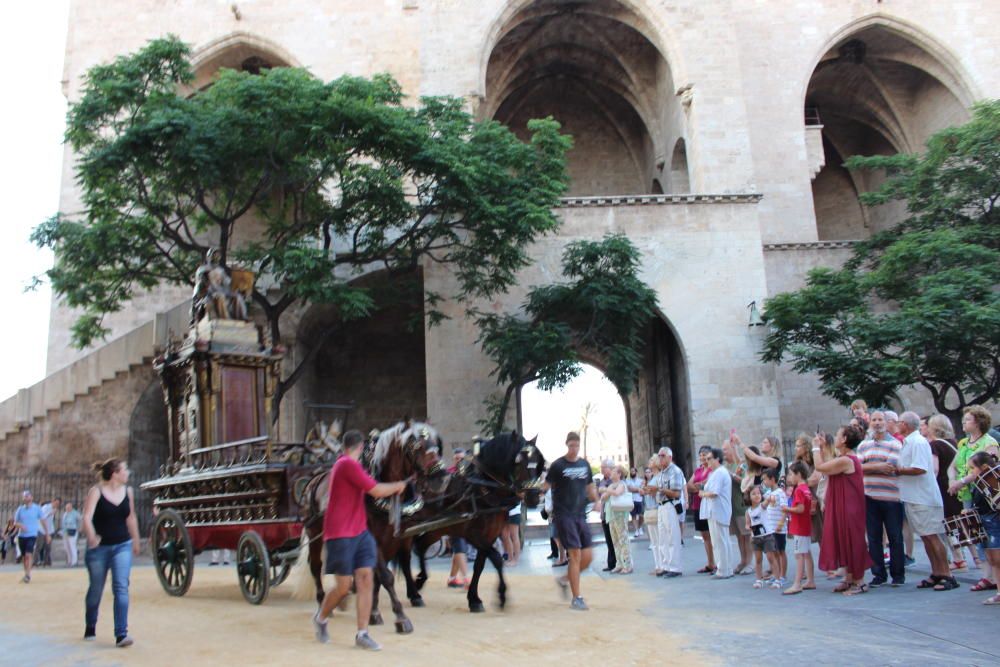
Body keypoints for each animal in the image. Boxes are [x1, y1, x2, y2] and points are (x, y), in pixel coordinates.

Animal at [400, 434, 544, 616]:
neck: (481, 488)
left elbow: (479, 565)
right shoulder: (473, 535)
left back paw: (420, 581)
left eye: (538, 463)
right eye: (519, 462)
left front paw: (474, 599)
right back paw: (413, 594)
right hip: (407, 528)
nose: (534, 497)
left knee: (421, 546)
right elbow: (496, 559)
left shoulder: (490, 534)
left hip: (437, 529)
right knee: (405, 557)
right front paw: (502, 596)